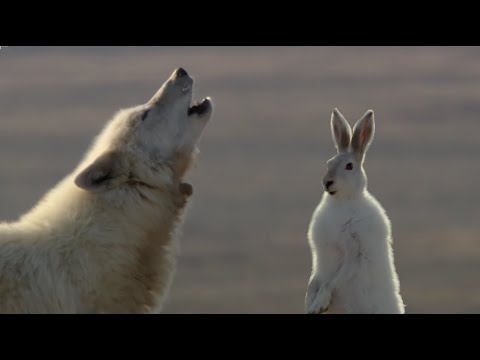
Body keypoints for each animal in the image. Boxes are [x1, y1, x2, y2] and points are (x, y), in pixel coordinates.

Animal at [306, 108, 404, 314]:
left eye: (349, 166)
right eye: (328, 163)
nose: (327, 182)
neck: (342, 201)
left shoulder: (354, 250)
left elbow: (331, 283)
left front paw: (318, 305)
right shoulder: (319, 260)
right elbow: (315, 280)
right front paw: (308, 302)